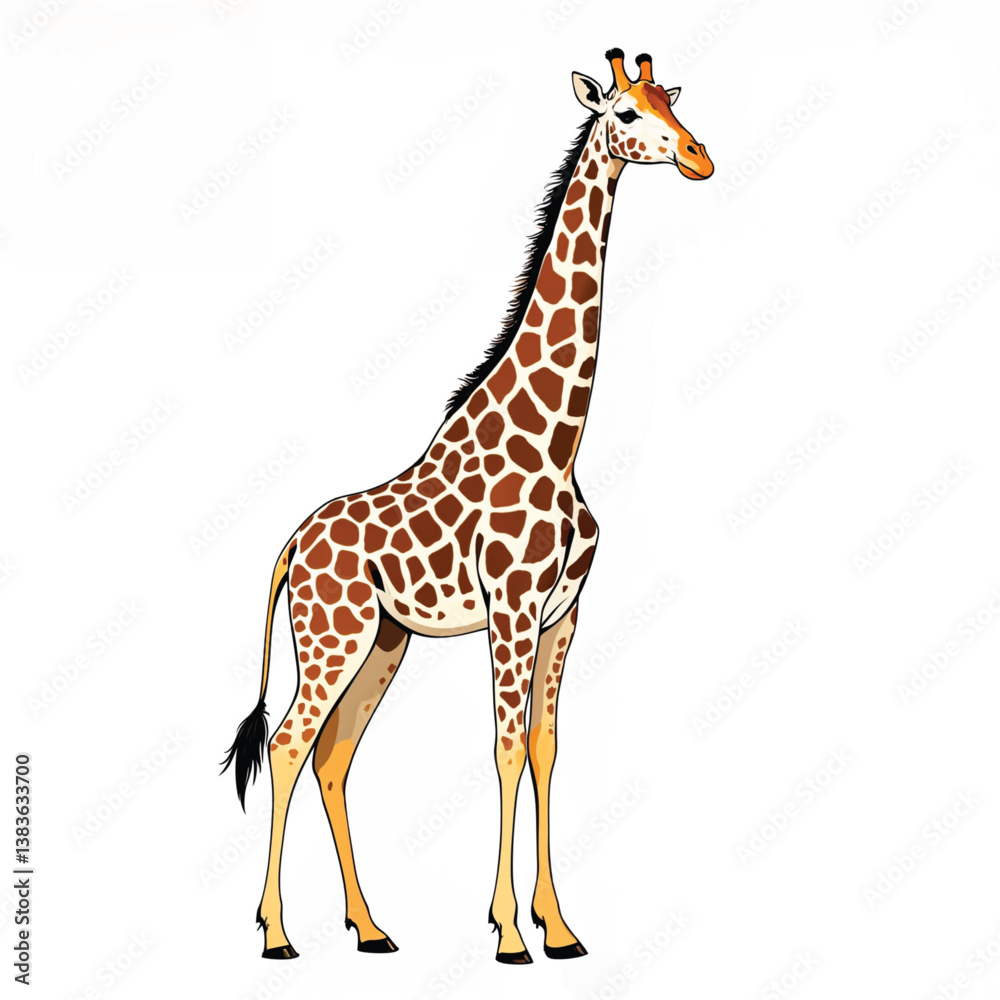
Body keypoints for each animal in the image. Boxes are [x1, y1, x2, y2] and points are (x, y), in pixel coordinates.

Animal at [222, 47, 713, 965]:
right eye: (626, 114)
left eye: (672, 101)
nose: (699, 157)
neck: (558, 439)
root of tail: (292, 547)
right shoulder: (512, 607)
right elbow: (506, 749)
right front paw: (511, 933)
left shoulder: (565, 611)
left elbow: (547, 750)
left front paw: (561, 928)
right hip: (334, 637)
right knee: (288, 741)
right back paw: (275, 935)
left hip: (383, 641)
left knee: (334, 756)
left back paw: (371, 928)